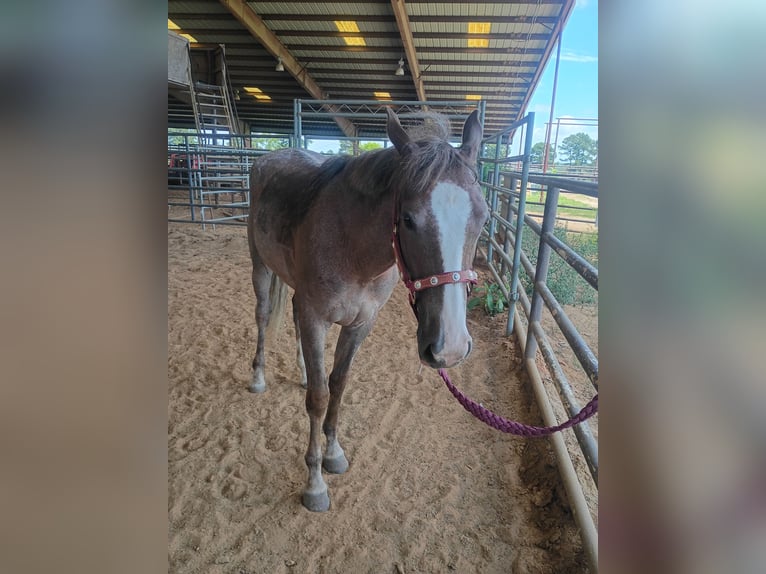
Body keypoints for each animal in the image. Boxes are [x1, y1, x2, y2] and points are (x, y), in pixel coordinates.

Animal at [246, 108, 489, 512]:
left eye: (483, 217)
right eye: (408, 219)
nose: (451, 347)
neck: (351, 245)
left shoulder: (360, 323)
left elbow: (338, 384)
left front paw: (333, 454)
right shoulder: (317, 318)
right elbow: (318, 398)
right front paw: (315, 483)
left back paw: (300, 371)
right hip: (261, 268)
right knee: (264, 317)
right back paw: (258, 377)